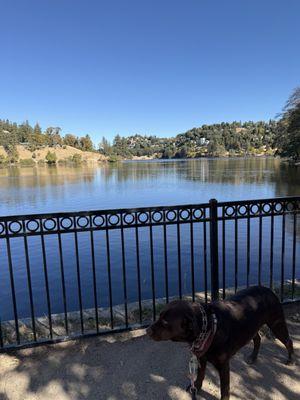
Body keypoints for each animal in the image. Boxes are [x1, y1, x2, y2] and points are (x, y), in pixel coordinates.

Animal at [146, 286, 294, 400]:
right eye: (159, 316)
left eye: (165, 322)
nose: (147, 330)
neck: (208, 326)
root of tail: (268, 289)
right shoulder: (201, 358)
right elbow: (200, 375)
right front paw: (196, 387)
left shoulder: (223, 366)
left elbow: (224, 389)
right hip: (252, 327)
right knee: (257, 339)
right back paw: (253, 357)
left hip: (276, 323)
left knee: (288, 341)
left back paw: (290, 360)